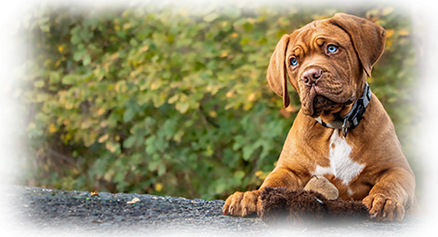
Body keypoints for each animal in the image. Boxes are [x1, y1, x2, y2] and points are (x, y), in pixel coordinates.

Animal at [224, 12, 422, 222]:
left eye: (332, 48)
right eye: (293, 62)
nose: (310, 76)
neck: (337, 126)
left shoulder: (399, 169)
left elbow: (390, 184)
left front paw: (382, 199)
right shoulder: (289, 170)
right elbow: (272, 181)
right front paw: (251, 196)